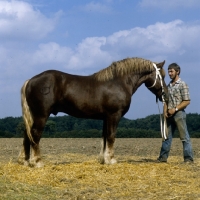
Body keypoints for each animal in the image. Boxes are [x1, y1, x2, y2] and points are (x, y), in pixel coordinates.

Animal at [18, 56, 168, 167]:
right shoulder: (114, 115)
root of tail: (30, 81)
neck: (118, 82)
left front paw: (104, 159)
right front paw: (111, 159)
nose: (165, 94)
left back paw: (25, 161)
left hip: (33, 116)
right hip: (41, 115)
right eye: (162, 76)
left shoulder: (106, 118)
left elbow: (105, 137)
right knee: (35, 134)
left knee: (27, 134)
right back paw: (37, 162)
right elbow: (111, 136)